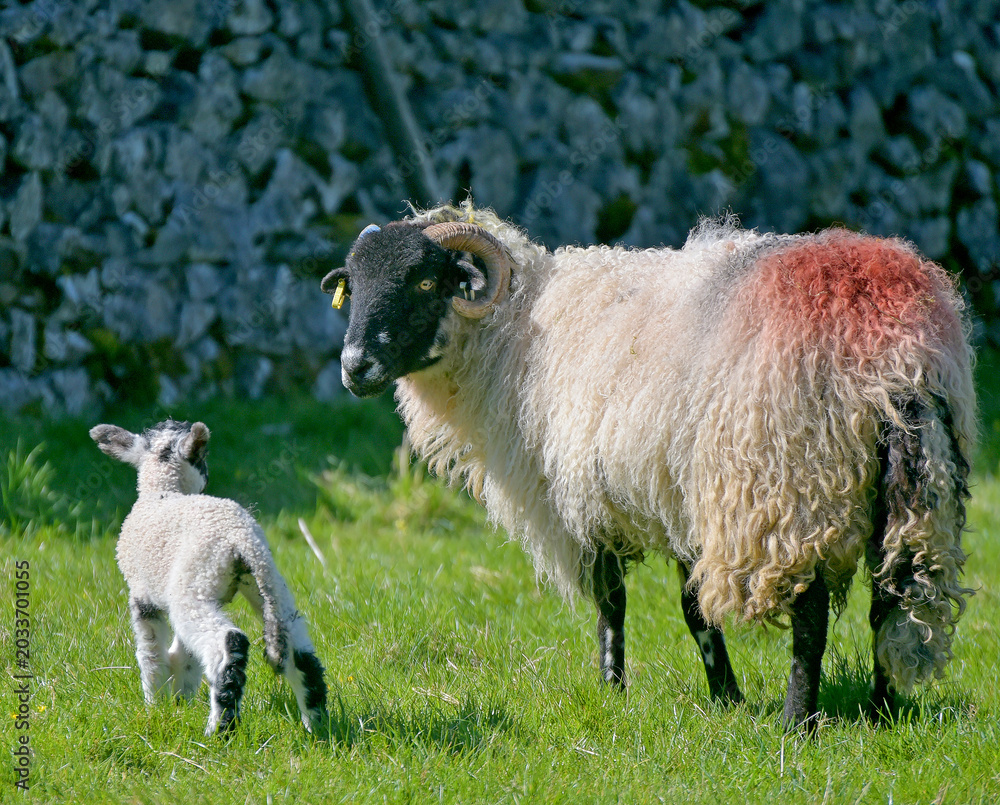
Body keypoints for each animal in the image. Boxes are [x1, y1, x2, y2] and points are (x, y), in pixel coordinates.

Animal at [90, 419, 328, 736]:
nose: (206, 479)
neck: (161, 492)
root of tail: (241, 538)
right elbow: (185, 657)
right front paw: (180, 700)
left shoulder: (142, 595)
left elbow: (151, 655)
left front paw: (155, 705)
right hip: (266, 585)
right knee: (299, 651)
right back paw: (317, 725)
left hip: (192, 584)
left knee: (228, 643)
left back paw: (219, 728)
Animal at [321, 202, 975, 730]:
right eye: (353, 285)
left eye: (426, 280)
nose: (354, 367)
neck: (519, 335)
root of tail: (891, 354)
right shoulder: (675, 495)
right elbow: (692, 610)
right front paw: (725, 698)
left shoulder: (591, 498)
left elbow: (614, 603)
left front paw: (614, 690)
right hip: (914, 487)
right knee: (889, 596)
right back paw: (882, 710)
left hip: (790, 486)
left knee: (810, 613)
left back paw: (799, 723)